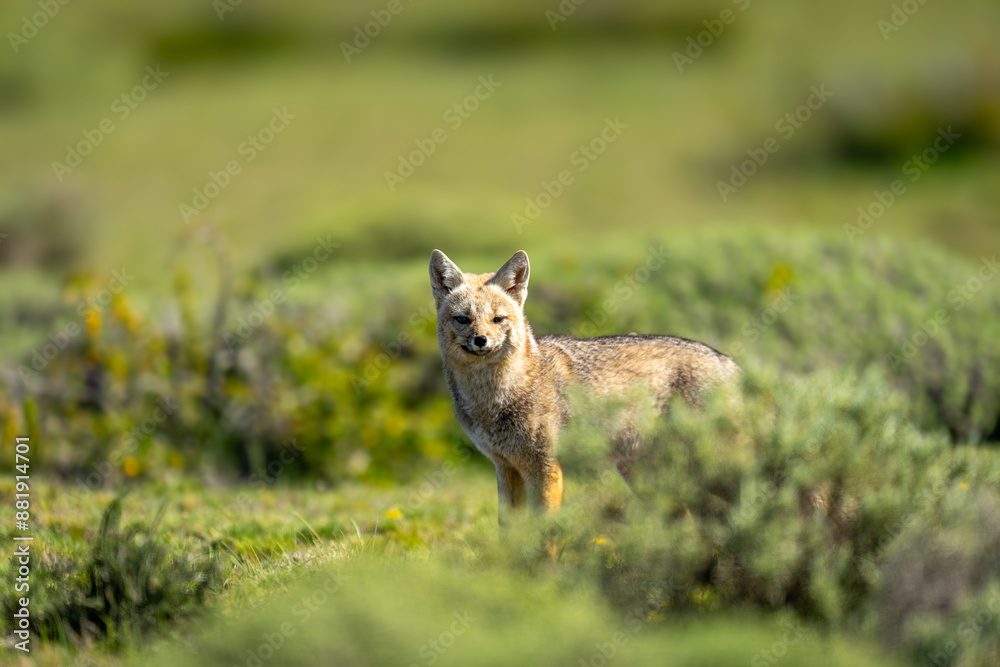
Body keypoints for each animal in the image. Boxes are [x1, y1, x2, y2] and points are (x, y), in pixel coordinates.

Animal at [429, 249, 739, 518]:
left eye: (497, 319)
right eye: (462, 319)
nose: (480, 340)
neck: (495, 397)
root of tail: (725, 359)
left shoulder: (545, 469)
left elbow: (544, 535)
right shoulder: (505, 467)